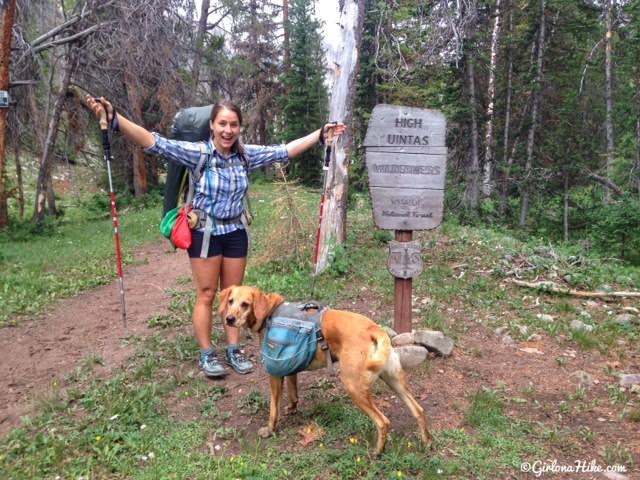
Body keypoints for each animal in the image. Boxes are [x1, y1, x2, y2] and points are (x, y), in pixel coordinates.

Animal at [218, 286, 432, 456]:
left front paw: (270, 430)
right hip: (395, 381)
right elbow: (293, 394)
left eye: (245, 304)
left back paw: (377, 452)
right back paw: (426, 443)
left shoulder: (275, 373)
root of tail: (374, 329)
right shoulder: (290, 367)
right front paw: (292, 409)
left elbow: (273, 409)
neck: (270, 311)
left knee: (383, 422)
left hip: (354, 387)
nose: (229, 319)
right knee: (419, 411)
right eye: (230, 301)